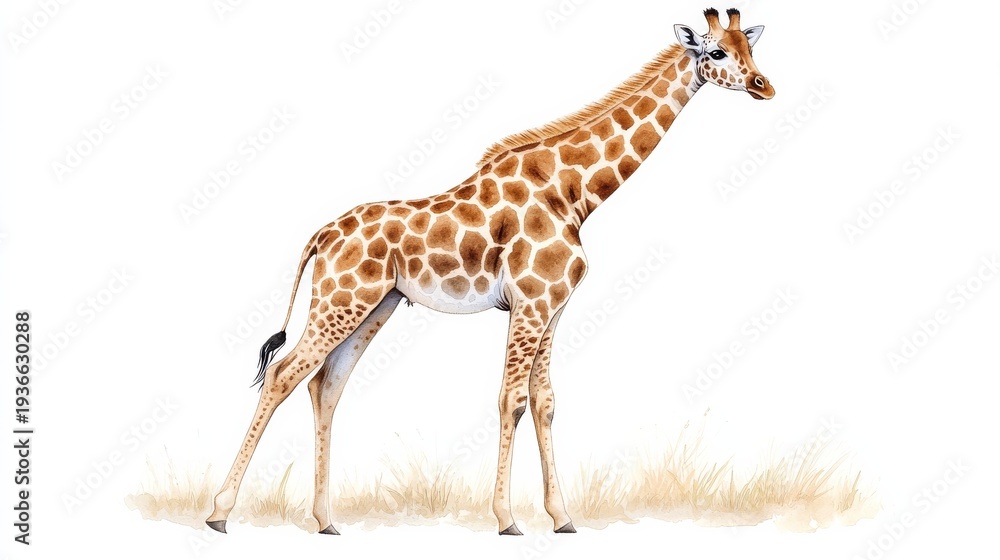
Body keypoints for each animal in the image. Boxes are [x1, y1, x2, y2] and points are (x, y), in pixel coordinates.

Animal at [206, 7, 773, 536]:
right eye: (717, 53)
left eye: (750, 47)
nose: (763, 86)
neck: (574, 193)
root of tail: (322, 235)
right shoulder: (530, 301)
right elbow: (511, 399)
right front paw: (506, 519)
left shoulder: (553, 307)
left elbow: (545, 402)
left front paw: (562, 518)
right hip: (342, 301)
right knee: (284, 374)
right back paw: (219, 512)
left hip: (373, 306)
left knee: (326, 385)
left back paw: (325, 520)